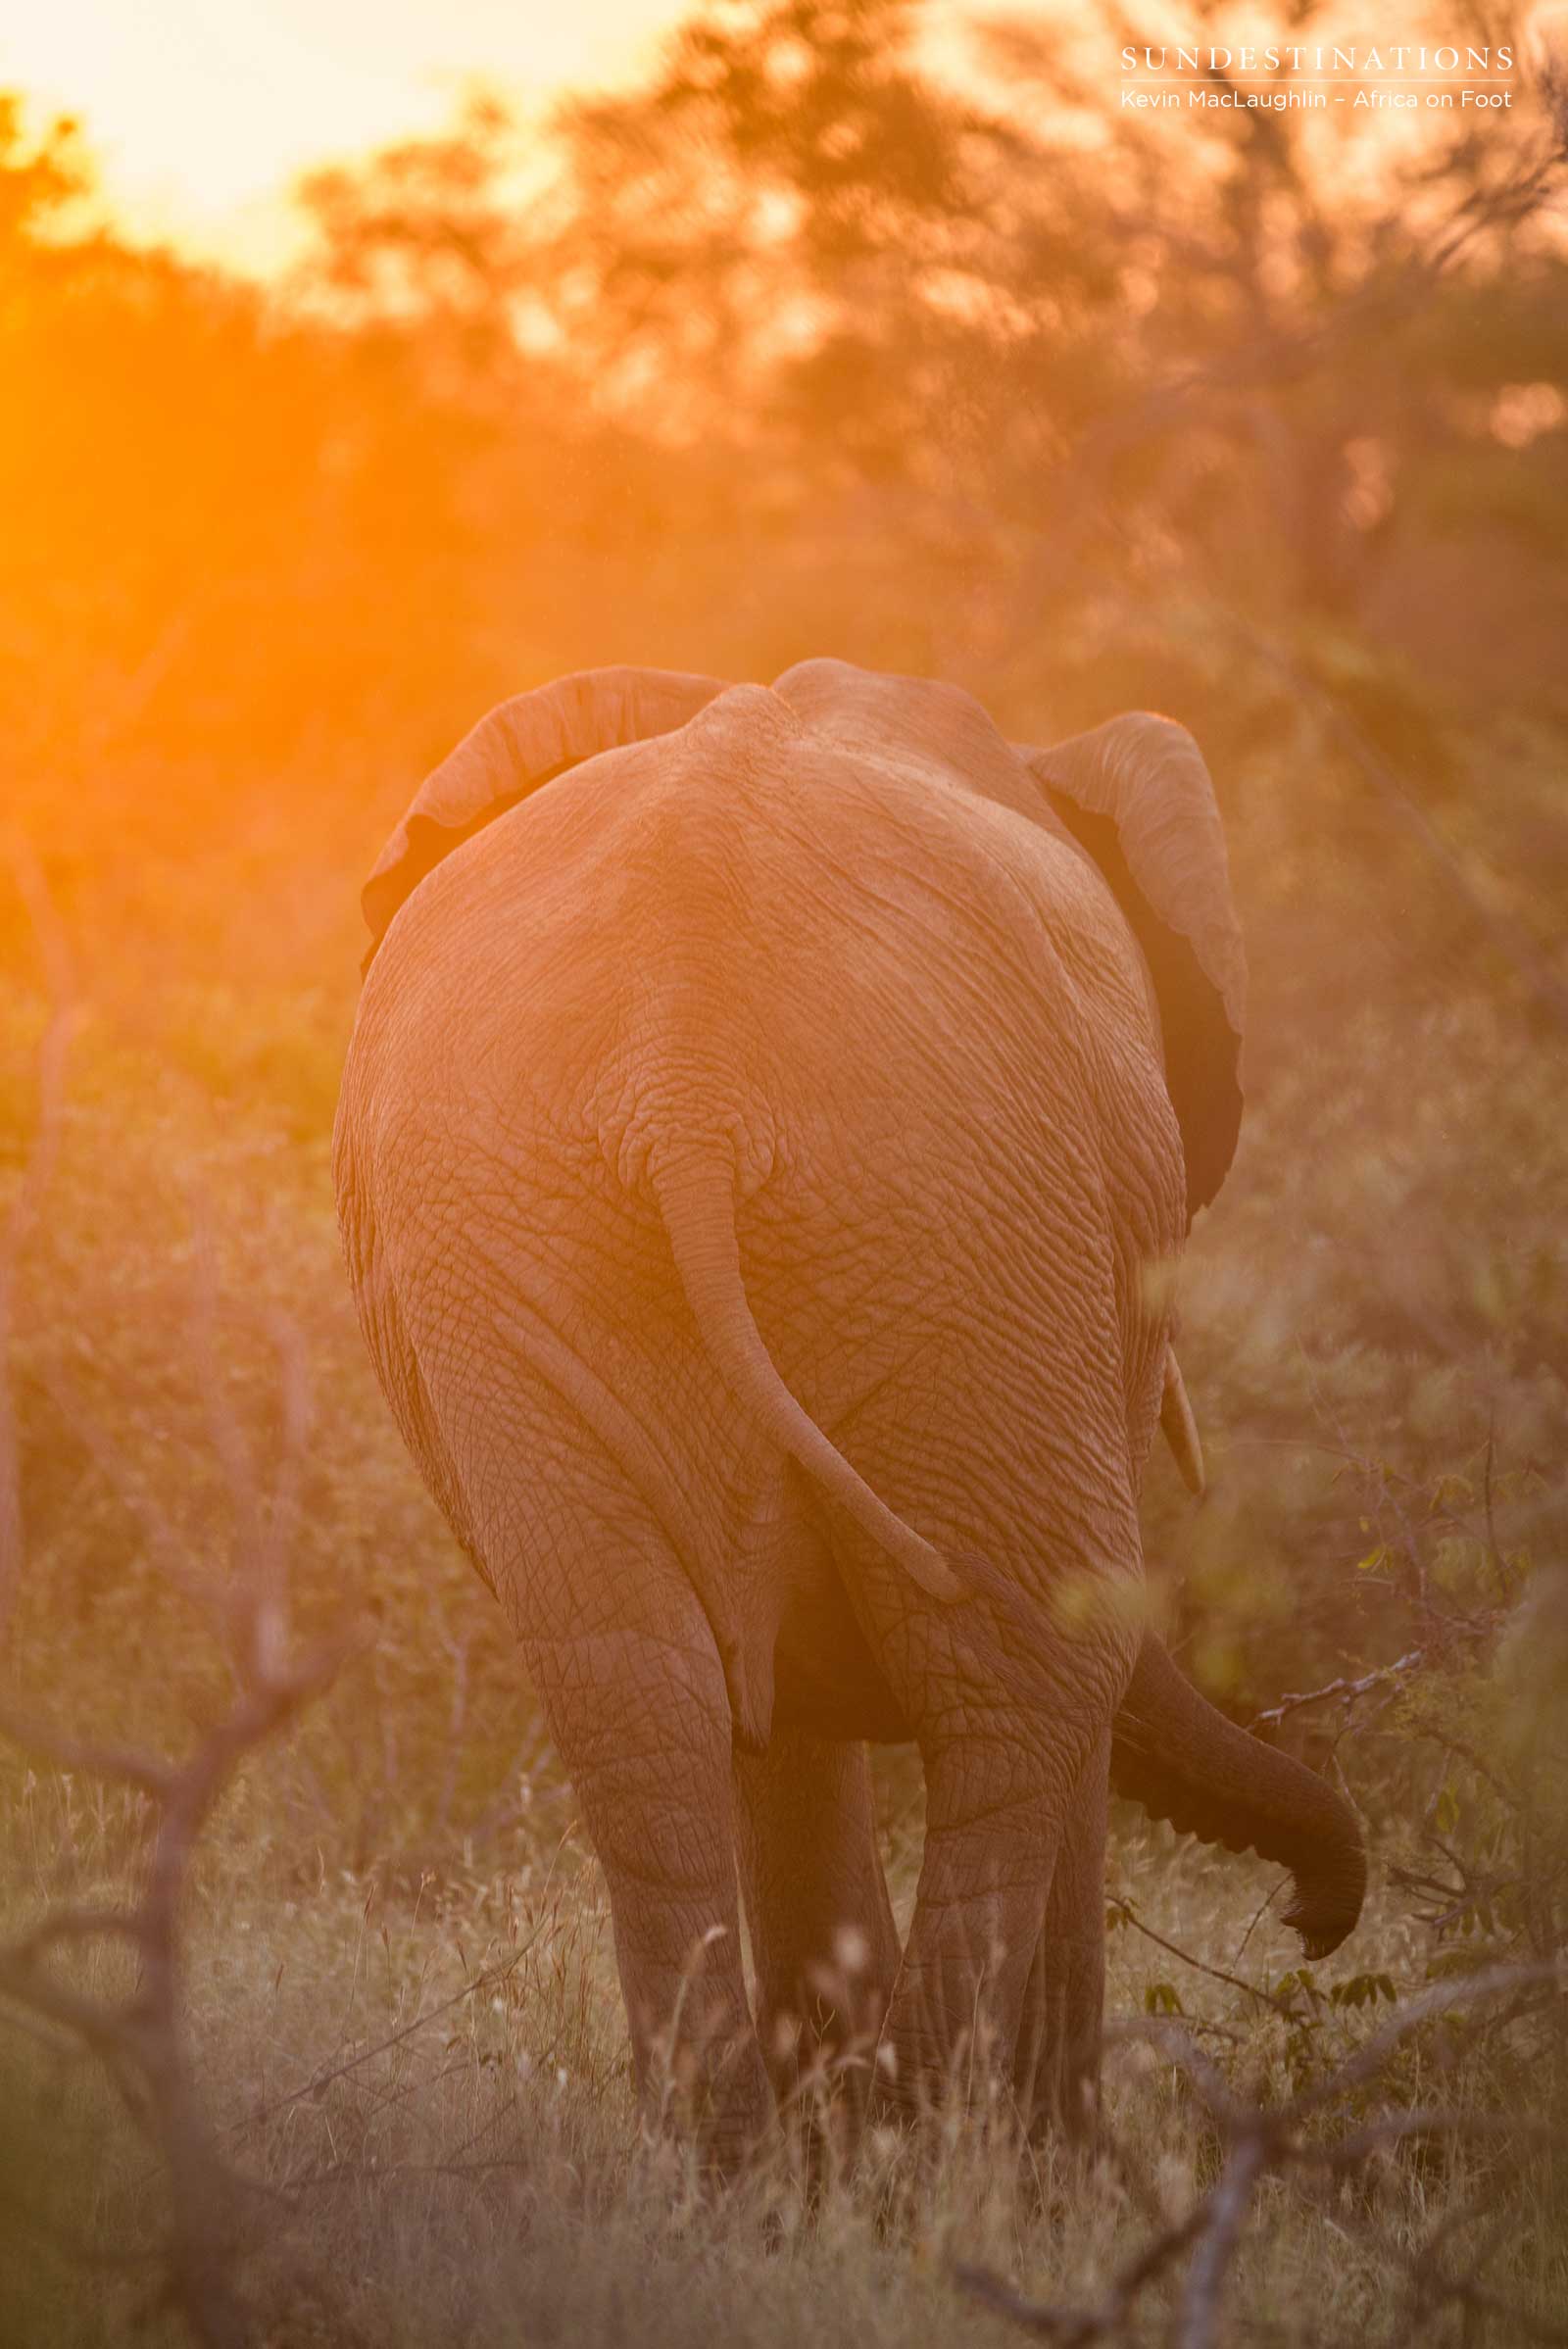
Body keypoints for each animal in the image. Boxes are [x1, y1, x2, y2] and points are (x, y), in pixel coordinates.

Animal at [334, 659, 1365, 2168]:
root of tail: (683, 1071)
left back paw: (735, 2169)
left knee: (635, 1684)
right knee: (1028, 1669)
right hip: (973, 1226)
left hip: (512, 1246)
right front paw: (980, 2162)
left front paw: (826, 2147)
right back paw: (947, 2162)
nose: (1312, 1922)